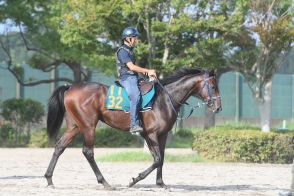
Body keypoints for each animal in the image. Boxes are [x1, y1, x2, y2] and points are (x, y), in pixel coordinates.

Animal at [44, 67, 222, 188]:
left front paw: (160, 183)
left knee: (59, 147)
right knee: (88, 152)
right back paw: (104, 182)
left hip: (74, 127)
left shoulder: (162, 135)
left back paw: (49, 178)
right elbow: (157, 159)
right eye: (213, 87)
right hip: (88, 127)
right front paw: (135, 180)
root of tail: (70, 87)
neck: (164, 99)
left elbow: (161, 159)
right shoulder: (150, 134)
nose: (218, 107)